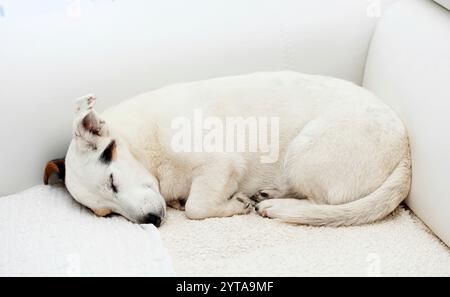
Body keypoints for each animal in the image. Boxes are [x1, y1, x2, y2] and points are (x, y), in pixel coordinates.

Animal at [44, 70, 410, 225]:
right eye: (106, 213)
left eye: (113, 182)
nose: (152, 221)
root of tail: (407, 151)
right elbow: (188, 202)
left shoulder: (221, 164)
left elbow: (197, 207)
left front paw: (233, 205)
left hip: (304, 152)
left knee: (321, 203)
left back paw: (276, 204)